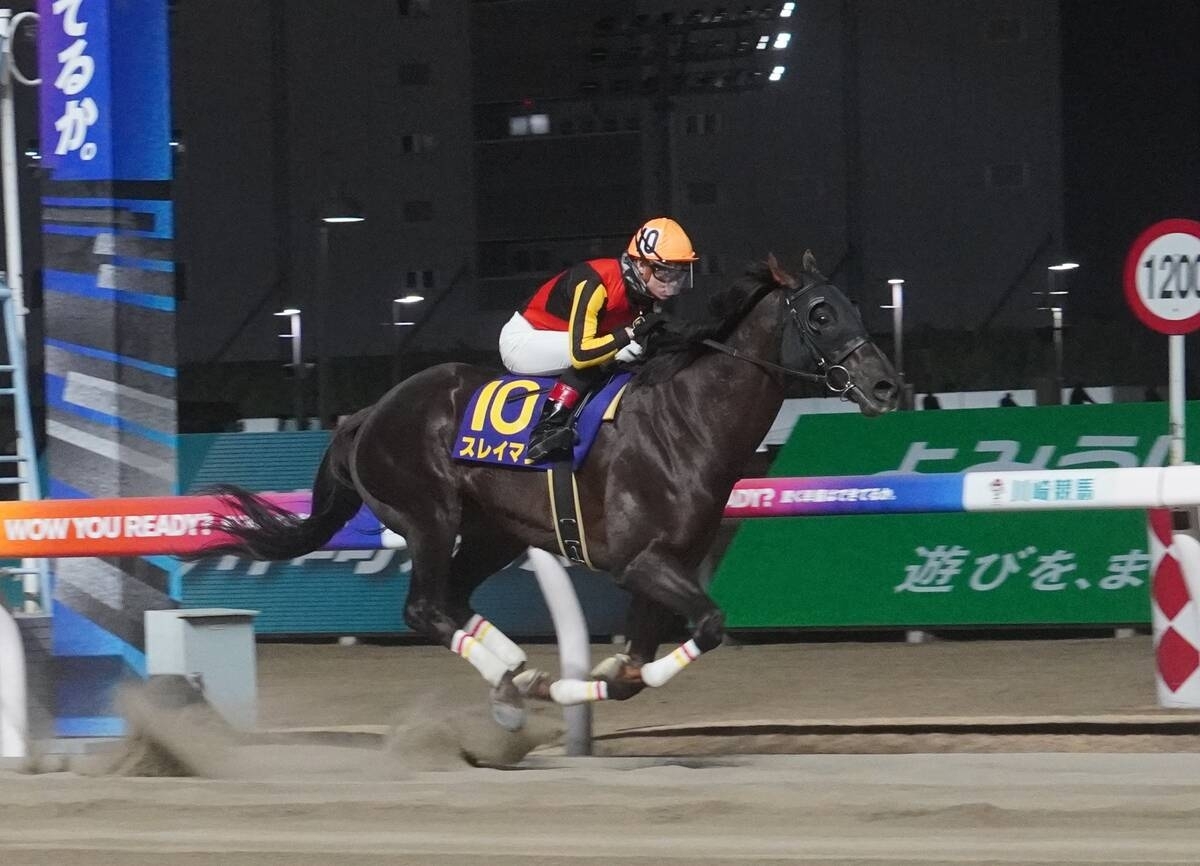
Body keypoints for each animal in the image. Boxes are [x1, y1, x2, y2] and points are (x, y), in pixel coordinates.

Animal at [201, 251, 899, 729]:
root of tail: (366, 414)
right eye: (820, 314)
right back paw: (518, 675)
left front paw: (596, 676)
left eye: (855, 306)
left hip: (494, 532)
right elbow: (707, 625)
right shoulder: (639, 561)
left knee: (453, 598)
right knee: (424, 608)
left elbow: (638, 667)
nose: (888, 386)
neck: (687, 421)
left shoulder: (663, 564)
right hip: (428, 517)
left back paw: (515, 676)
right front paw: (576, 685)